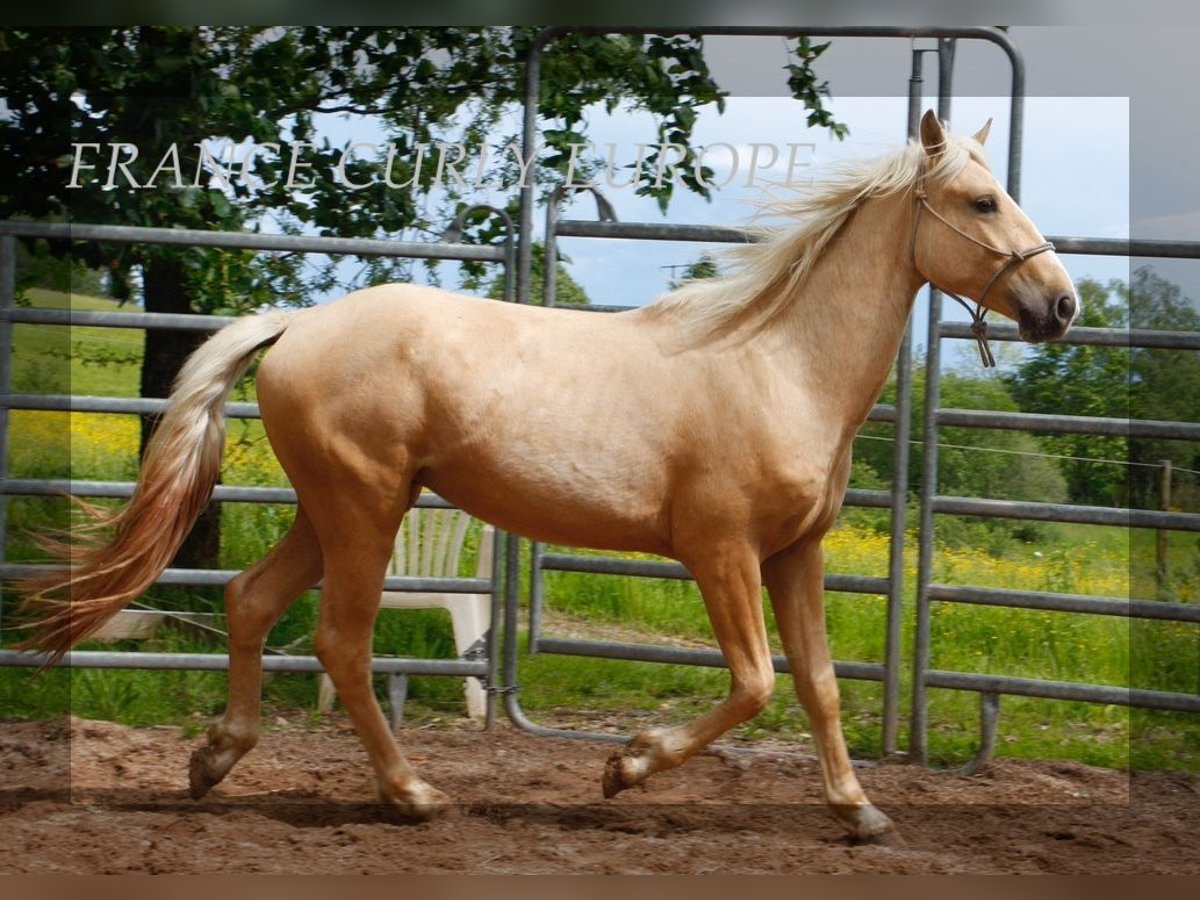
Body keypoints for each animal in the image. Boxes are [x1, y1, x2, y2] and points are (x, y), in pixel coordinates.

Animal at [16, 114, 1080, 844]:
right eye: (982, 202)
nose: (1061, 304)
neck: (777, 362)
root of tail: (297, 324)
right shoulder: (721, 551)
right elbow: (755, 683)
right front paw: (625, 767)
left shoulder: (795, 553)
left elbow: (816, 684)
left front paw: (859, 812)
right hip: (363, 510)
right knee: (340, 643)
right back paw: (412, 794)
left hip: (332, 511)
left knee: (247, 602)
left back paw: (214, 762)